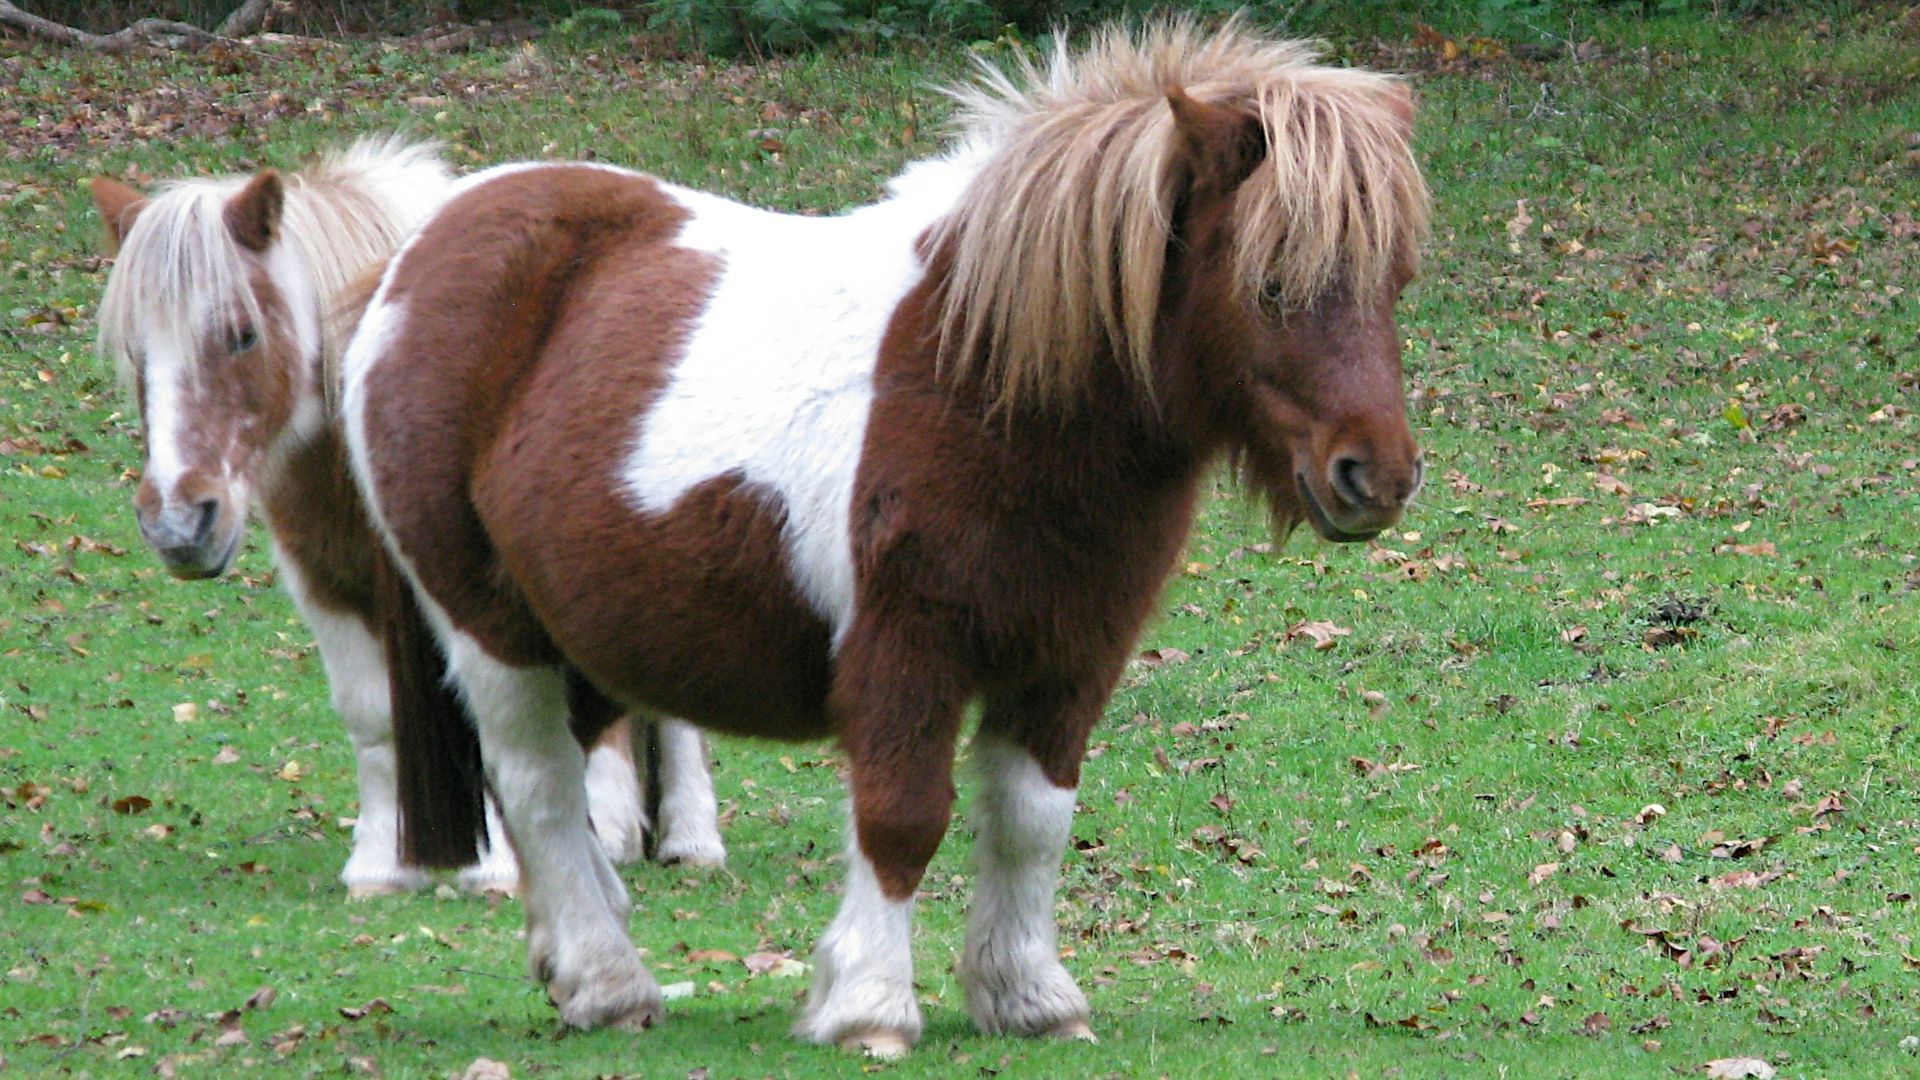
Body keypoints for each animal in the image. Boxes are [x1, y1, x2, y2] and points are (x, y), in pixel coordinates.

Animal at [89, 139, 727, 897]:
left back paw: (685, 836)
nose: (179, 525)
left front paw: (495, 865)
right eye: (135, 351)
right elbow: (372, 713)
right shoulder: (324, 577)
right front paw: (383, 864)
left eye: (242, 335)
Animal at [345, 19, 1428, 1055]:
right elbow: (904, 819)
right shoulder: (906, 654)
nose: (1375, 476)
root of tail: (414, 257)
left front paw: (1030, 999)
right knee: (536, 783)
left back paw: (575, 961)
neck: (982, 382)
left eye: (1395, 282)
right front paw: (868, 1006)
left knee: (559, 788)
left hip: (589, 639)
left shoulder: (1069, 660)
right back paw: (610, 986)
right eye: (1272, 284)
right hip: (490, 627)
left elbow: (1034, 821)